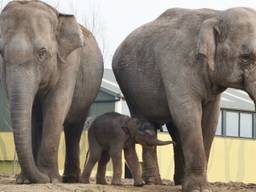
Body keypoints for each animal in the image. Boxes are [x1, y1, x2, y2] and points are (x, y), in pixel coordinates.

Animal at [0, 1, 104, 184]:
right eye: (0, 53)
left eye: (42, 53)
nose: (41, 178)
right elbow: (32, 114)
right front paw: (25, 181)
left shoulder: (70, 62)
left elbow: (56, 106)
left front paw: (51, 179)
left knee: (74, 127)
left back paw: (69, 179)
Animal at [113, 7, 256, 192]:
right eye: (245, 58)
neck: (216, 14)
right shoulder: (177, 67)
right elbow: (188, 114)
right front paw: (198, 189)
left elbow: (210, 120)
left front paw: (199, 186)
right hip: (131, 91)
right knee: (146, 122)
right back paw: (153, 182)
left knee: (175, 129)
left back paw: (179, 181)